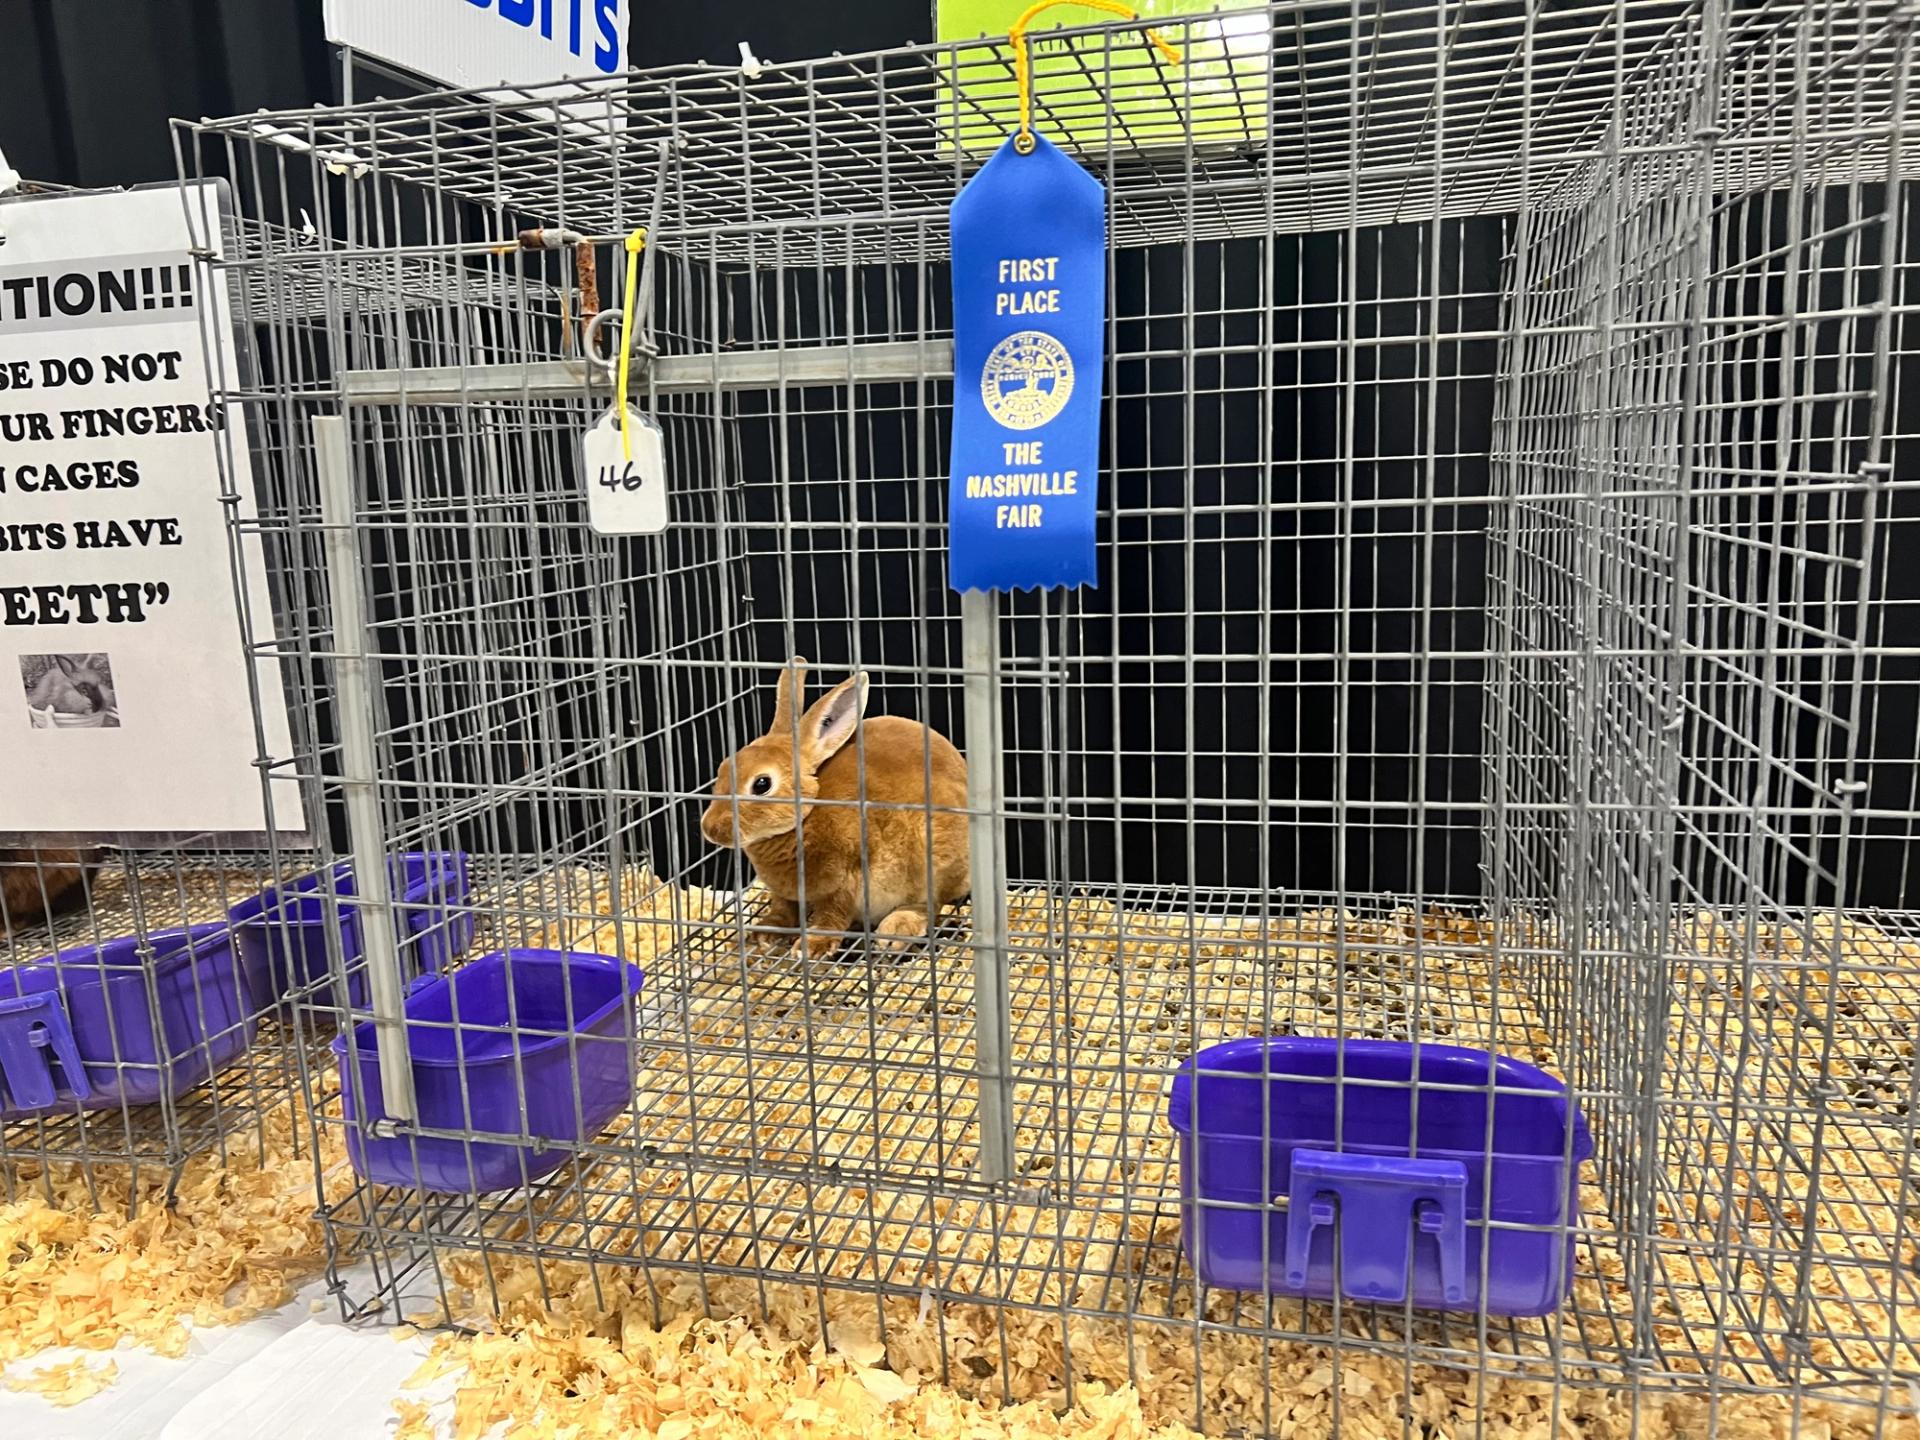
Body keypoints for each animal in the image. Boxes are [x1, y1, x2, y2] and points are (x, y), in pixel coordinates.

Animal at [700, 656, 970, 960]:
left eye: (761, 784)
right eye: (723, 768)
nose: (710, 829)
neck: (805, 818)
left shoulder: (846, 881)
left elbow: (832, 915)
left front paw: (813, 946)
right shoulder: (787, 894)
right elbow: (783, 909)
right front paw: (766, 931)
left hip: (936, 860)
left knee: (932, 904)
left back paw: (896, 930)